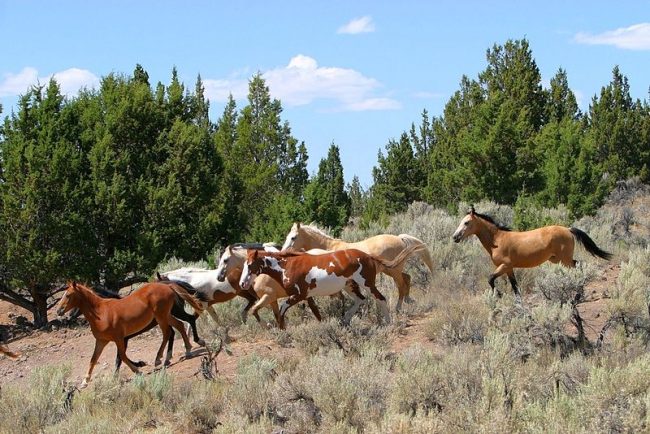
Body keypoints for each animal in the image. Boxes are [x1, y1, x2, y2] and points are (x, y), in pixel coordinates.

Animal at [55, 282, 202, 386]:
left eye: (68, 295)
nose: (59, 311)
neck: (101, 313)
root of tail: (168, 286)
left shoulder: (120, 338)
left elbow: (122, 357)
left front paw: (138, 369)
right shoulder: (101, 341)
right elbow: (93, 359)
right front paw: (85, 381)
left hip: (162, 317)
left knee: (169, 332)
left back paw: (160, 358)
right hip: (167, 315)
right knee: (179, 325)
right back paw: (186, 350)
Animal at [238, 244, 426, 326]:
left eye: (250, 265)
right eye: (244, 264)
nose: (242, 283)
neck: (288, 266)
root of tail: (368, 256)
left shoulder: (299, 295)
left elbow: (282, 310)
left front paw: (282, 329)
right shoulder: (307, 296)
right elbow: (315, 312)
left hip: (366, 283)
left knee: (380, 298)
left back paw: (387, 322)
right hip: (349, 286)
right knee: (361, 300)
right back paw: (345, 320)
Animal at [280, 222, 432, 310]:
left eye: (293, 237)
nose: (282, 253)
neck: (328, 248)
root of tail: (400, 238)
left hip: (394, 271)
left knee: (401, 285)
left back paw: (398, 308)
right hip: (391, 270)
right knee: (407, 278)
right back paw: (408, 301)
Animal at [450, 205, 608, 296]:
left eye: (466, 222)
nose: (455, 237)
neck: (497, 240)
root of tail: (568, 229)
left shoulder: (504, 266)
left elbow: (490, 279)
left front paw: (498, 295)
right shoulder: (509, 269)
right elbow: (515, 287)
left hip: (565, 260)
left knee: (577, 267)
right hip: (559, 259)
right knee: (578, 264)